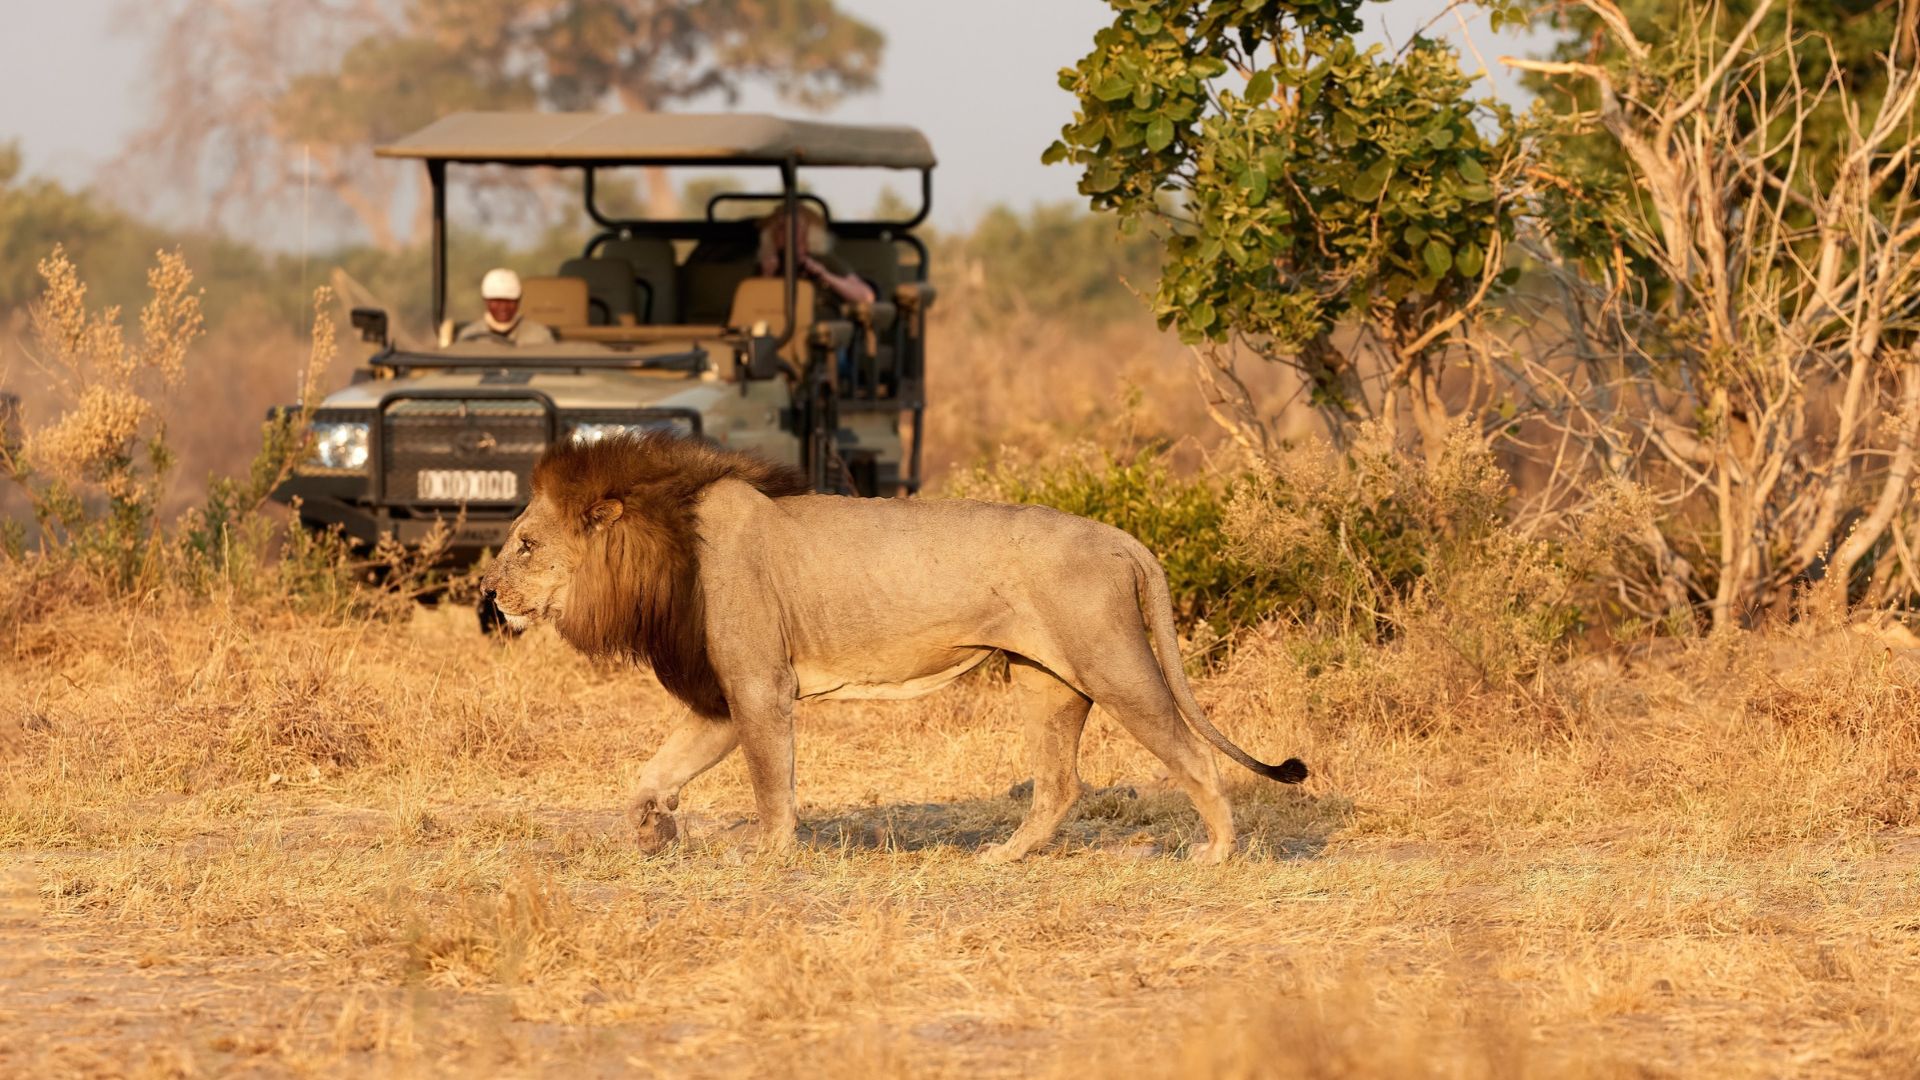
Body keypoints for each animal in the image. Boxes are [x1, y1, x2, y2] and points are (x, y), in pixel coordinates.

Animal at [479, 433, 1307, 863]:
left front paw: (768, 854)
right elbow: (651, 773)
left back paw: (1217, 852)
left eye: (525, 545)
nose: (487, 593)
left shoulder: (756, 686)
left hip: (1113, 665)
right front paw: (654, 828)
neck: (665, 543)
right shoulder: (721, 696)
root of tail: (1121, 537)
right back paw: (1000, 858)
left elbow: (770, 782)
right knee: (1059, 785)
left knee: (1191, 754)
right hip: (1047, 681)